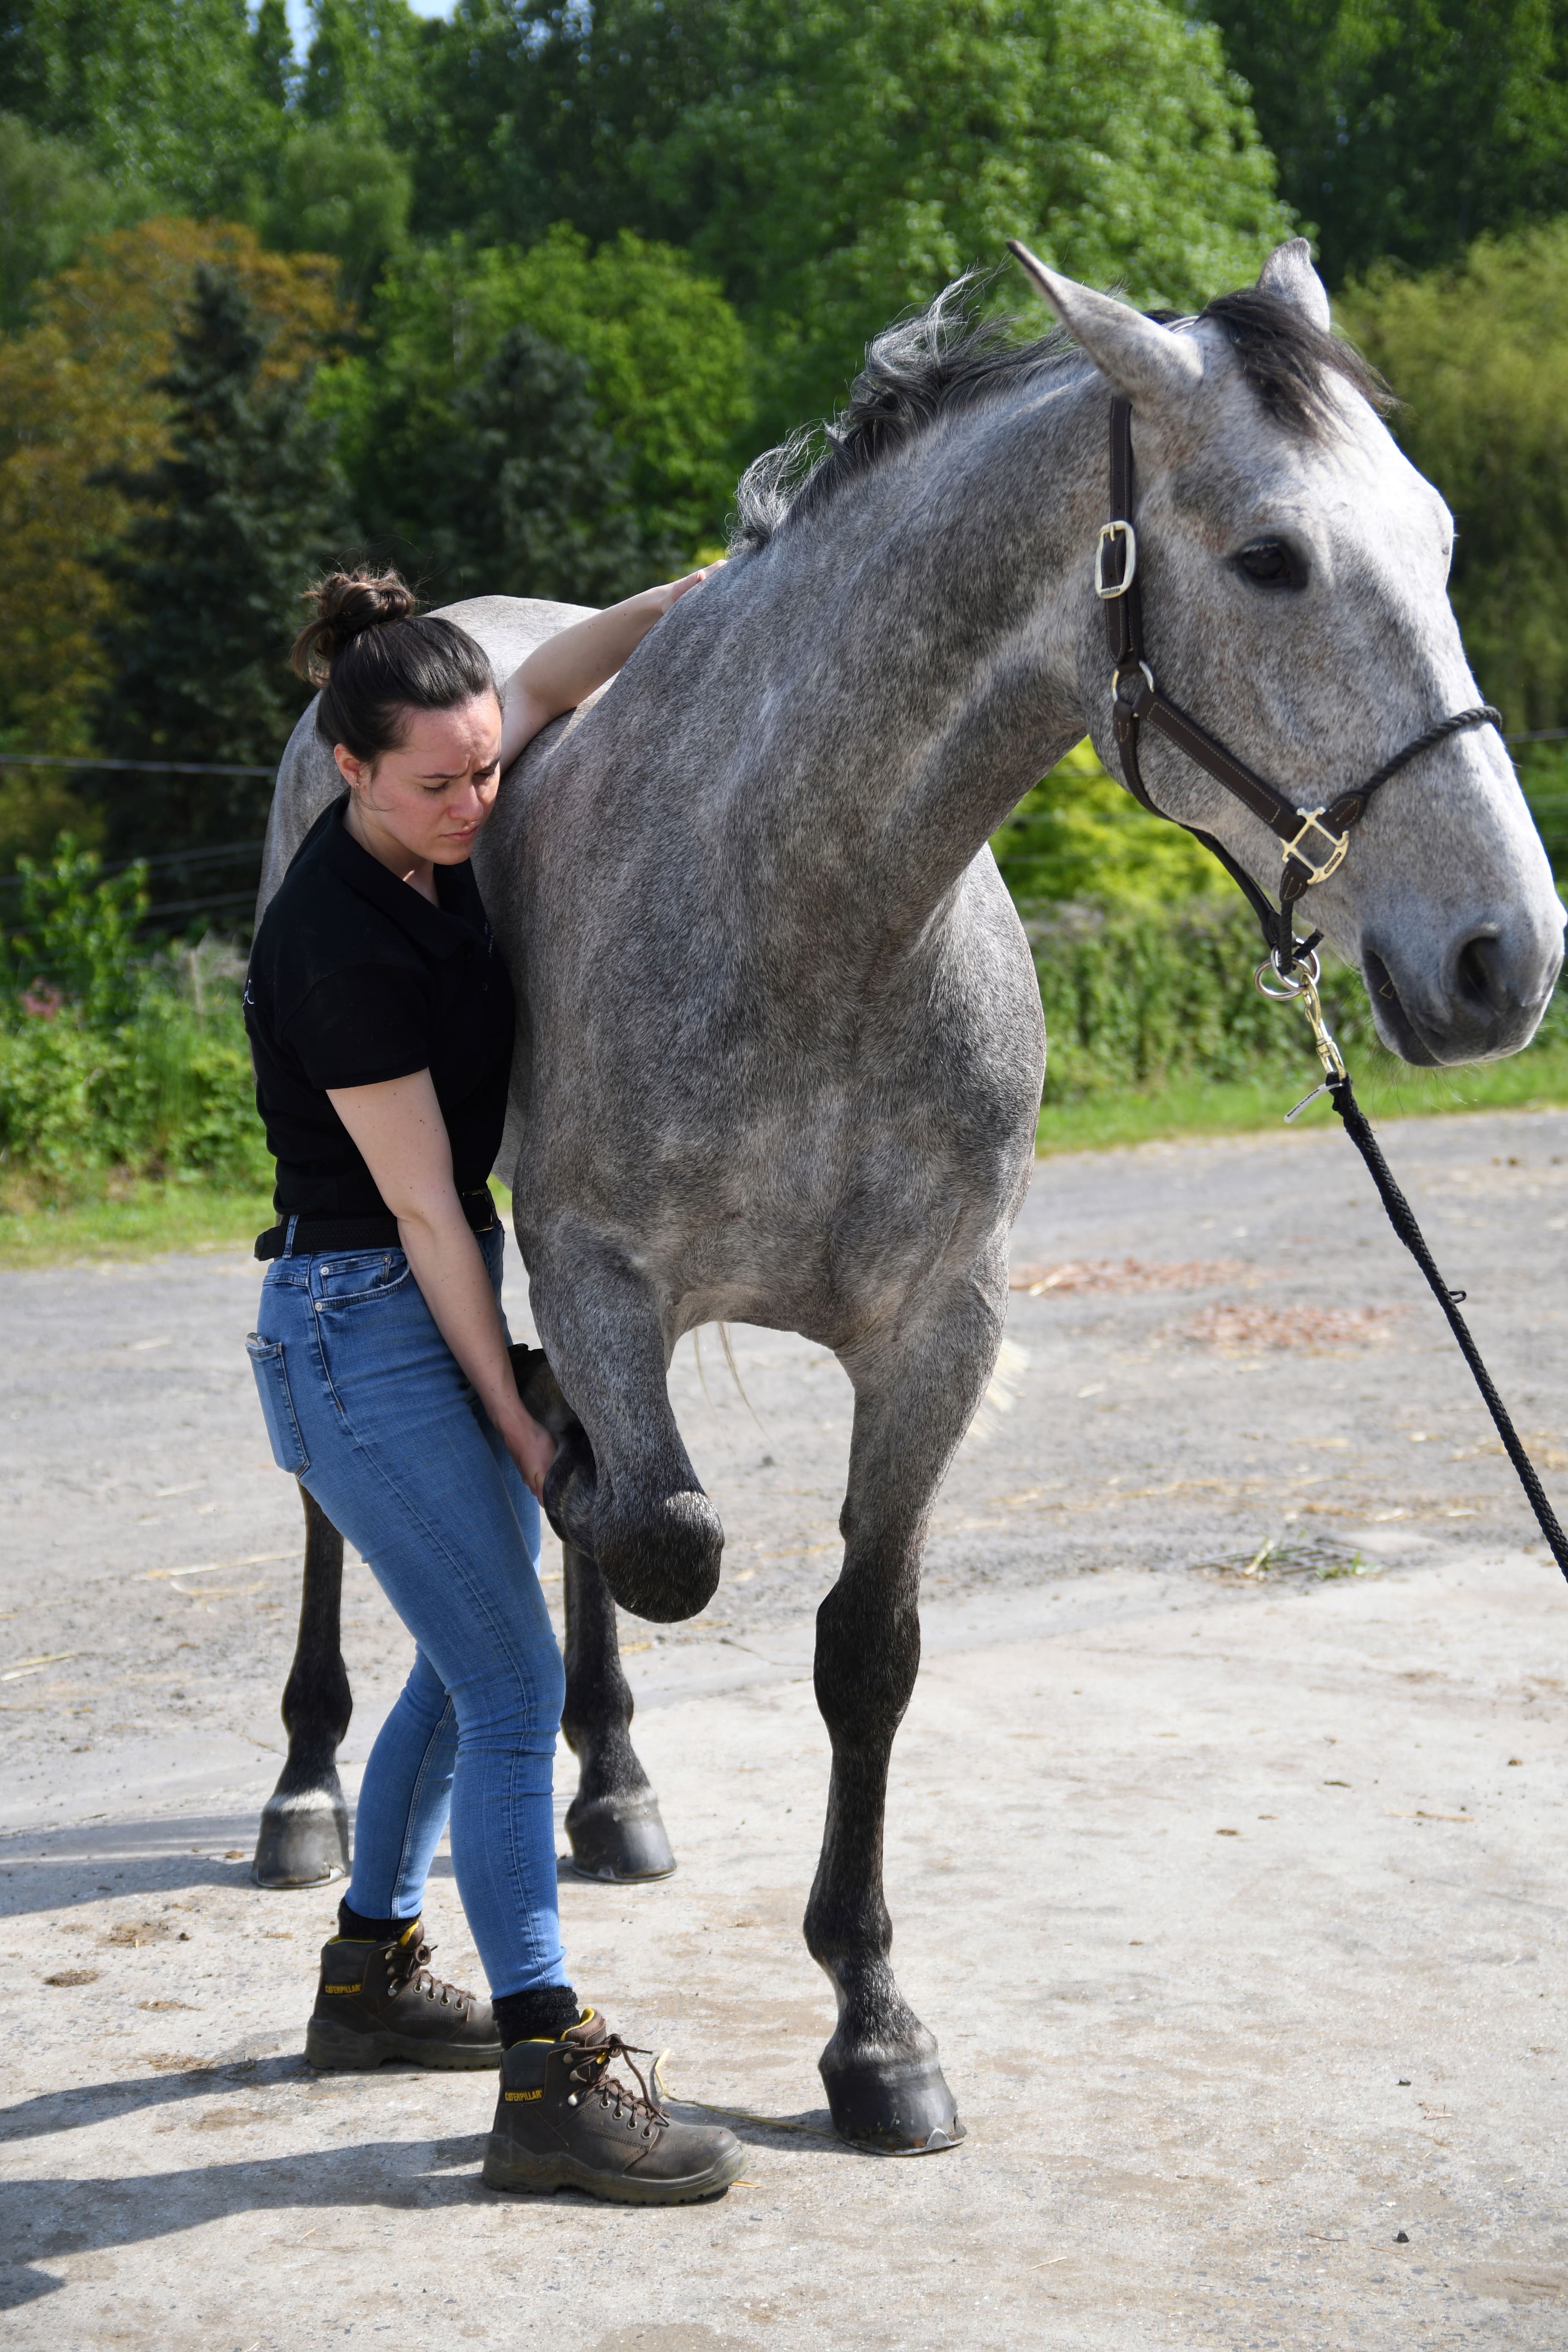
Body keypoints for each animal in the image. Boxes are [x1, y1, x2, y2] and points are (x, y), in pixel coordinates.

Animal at [251, 239, 1561, 2154]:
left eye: (1441, 542)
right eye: (1268, 557)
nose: (1502, 957)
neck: (804, 901)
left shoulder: (937, 1331)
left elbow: (860, 1648)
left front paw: (871, 2030)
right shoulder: (599, 1275)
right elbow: (658, 1534)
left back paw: (611, 1788)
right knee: (347, 1510)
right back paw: (307, 1789)